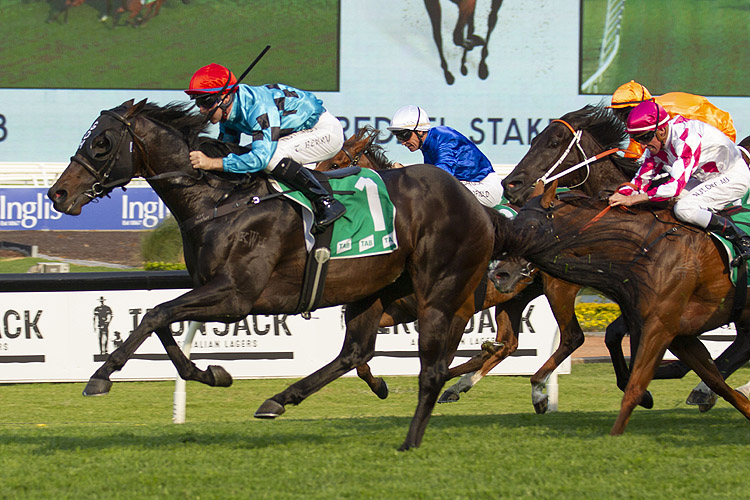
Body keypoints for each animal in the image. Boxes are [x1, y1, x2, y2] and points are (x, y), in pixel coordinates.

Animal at [47, 97, 516, 450]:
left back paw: (414, 433)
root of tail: (481, 210)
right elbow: (162, 322)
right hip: (372, 290)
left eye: (103, 142)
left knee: (435, 367)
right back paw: (280, 399)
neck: (223, 199)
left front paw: (100, 377)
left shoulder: (236, 296)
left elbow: (155, 314)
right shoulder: (212, 290)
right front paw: (212, 374)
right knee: (356, 352)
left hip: (441, 294)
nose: (58, 193)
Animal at [512, 184, 750, 434]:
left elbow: (634, 387)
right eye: (514, 220)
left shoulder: (660, 327)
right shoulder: (678, 335)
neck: (645, 248)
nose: (501, 272)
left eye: (532, 225)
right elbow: (717, 382)